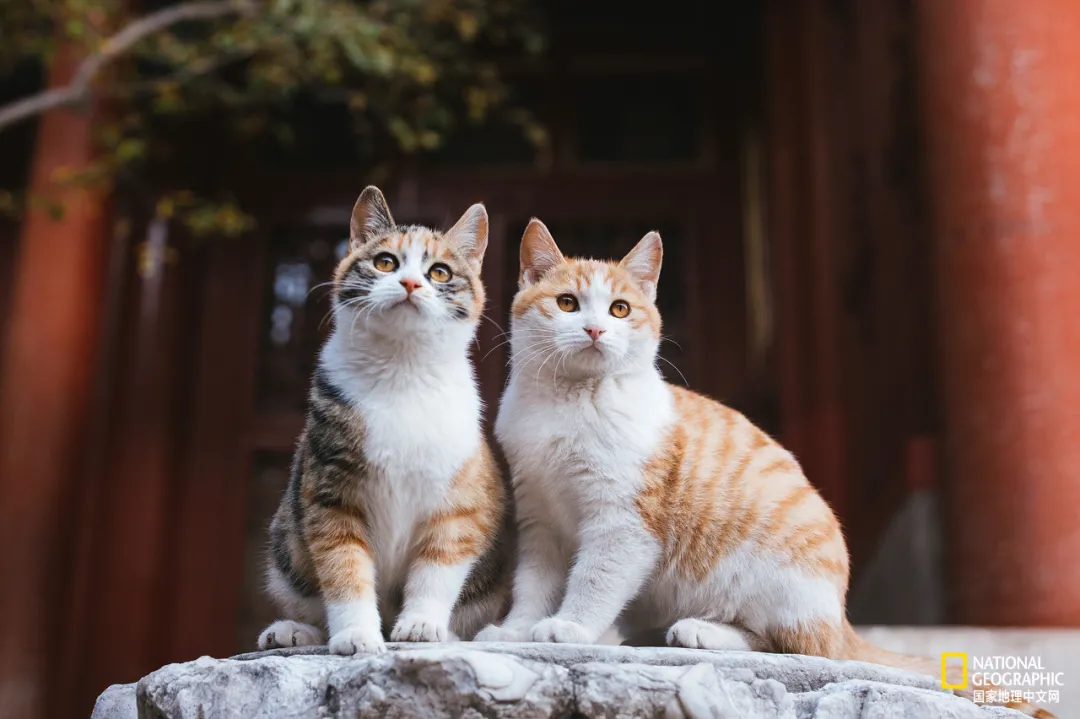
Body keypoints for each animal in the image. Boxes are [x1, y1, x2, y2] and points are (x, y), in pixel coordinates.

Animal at [261, 185, 514, 656]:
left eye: (439, 272)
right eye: (385, 262)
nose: (411, 283)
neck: (402, 369)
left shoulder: (460, 498)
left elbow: (439, 565)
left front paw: (422, 624)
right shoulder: (330, 494)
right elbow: (343, 567)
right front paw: (356, 634)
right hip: (286, 540)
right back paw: (293, 630)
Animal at [479, 220, 1054, 716]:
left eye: (620, 309)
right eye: (568, 304)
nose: (597, 329)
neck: (567, 403)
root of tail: (839, 616)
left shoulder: (622, 524)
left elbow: (594, 580)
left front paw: (571, 627)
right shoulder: (540, 521)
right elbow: (533, 584)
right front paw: (517, 630)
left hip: (769, 580)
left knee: (794, 645)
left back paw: (702, 631)